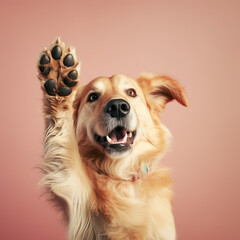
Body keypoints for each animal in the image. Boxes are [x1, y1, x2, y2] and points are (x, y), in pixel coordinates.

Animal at [38, 38, 188, 239]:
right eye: (93, 96)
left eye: (131, 93)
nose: (117, 106)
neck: (120, 176)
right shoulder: (72, 186)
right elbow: (65, 144)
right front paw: (57, 78)